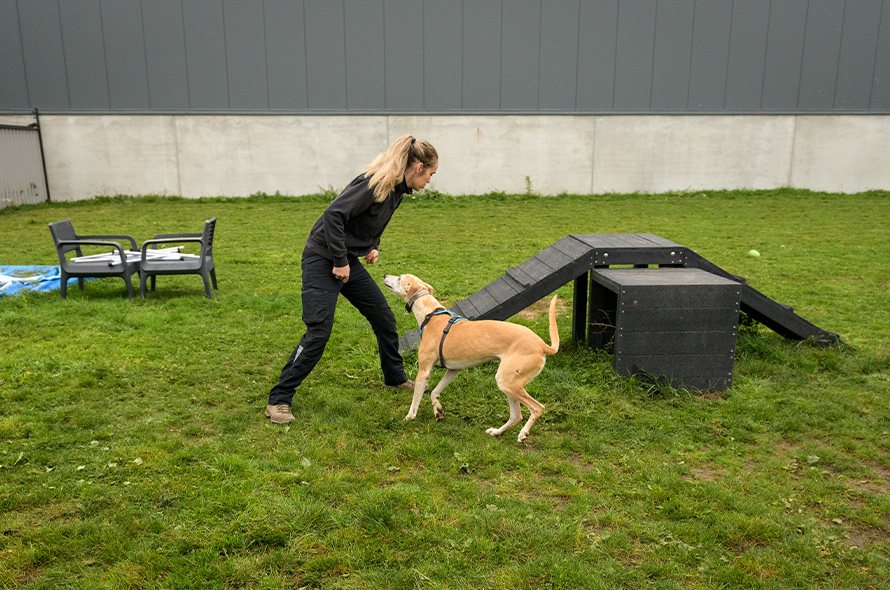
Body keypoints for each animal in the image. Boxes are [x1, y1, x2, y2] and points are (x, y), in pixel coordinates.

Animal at [380, 276, 560, 442]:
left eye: (399, 278)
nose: (384, 276)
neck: (431, 314)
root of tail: (542, 345)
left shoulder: (423, 372)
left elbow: (416, 400)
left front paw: (408, 417)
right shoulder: (454, 369)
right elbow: (435, 392)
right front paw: (438, 411)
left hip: (508, 382)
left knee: (537, 408)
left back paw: (523, 433)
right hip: (509, 385)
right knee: (516, 416)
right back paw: (497, 432)